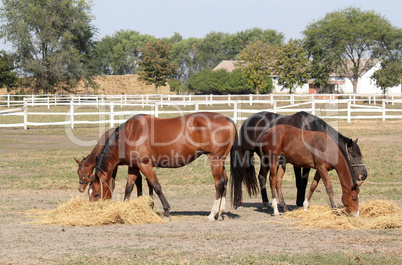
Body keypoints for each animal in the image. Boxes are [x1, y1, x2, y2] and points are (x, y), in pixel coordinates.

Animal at [85, 111, 236, 221]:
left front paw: (166, 212)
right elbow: (129, 188)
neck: (129, 134)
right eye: (89, 193)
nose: (91, 212)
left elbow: (156, 187)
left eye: (97, 194)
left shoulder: (145, 165)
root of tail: (227, 119)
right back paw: (220, 213)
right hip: (220, 161)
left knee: (219, 184)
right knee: (225, 181)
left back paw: (212, 214)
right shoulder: (134, 167)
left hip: (215, 160)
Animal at [231, 110, 366, 207]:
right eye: (354, 155)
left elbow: (305, 182)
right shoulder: (297, 163)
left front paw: (301, 201)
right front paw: (299, 202)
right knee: (239, 175)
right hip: (246, 156)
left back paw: (267, 202)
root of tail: (247, 121)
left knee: (261, 176)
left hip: (266, 159)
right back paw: (238, 202)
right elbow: (299, 182)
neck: (308, 126)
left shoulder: (307, 164)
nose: (364, 174)